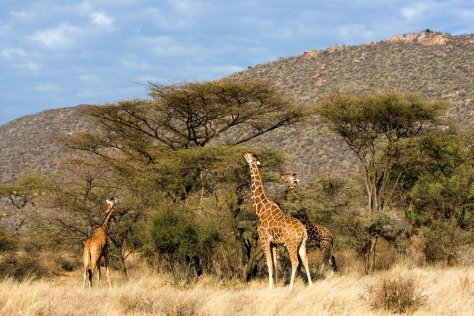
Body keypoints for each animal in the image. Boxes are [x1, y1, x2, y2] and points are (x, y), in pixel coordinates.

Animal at [243, 153, 312, 292]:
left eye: (249, 156)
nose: (243, 154)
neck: (260, 209)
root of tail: (303, 231)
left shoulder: (264, 239)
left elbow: (269, 263)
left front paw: (270, 287)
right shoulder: (274, 243)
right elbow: (275, 263)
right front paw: (275, 285)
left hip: (291, 244)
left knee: (295, 262)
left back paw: (291, 287)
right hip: (302, 244)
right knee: (305, 260)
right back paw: (311, 285)